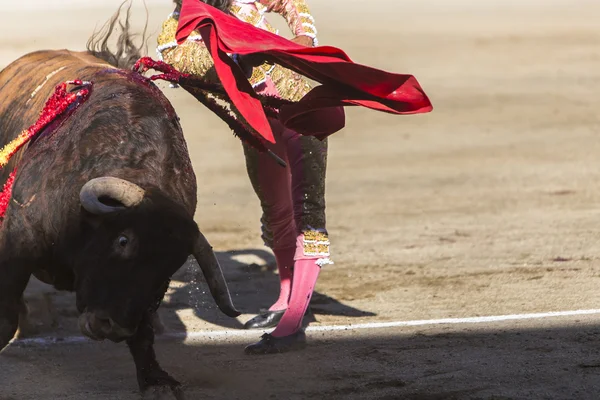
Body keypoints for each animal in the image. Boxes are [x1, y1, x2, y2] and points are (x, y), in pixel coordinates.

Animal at [0, 8, 239, 396]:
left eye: (169, 267)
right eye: (123, 241)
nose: (111, 326)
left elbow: (143, 335)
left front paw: (156, 379)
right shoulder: (17, 241)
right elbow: (5, 314)